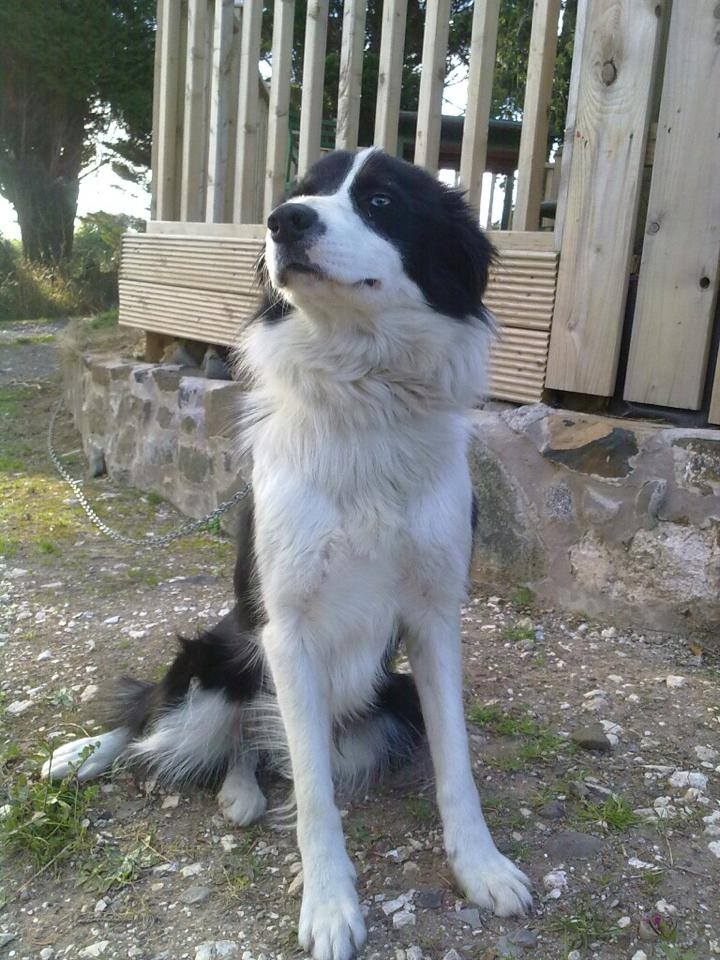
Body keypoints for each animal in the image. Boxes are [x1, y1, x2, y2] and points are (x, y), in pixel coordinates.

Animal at [43, 150, 528, 960]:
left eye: (381, 200)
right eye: (299, 192)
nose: (284, 222)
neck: (365, 396)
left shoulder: (433, 617)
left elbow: (453, 761)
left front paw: (481, 866)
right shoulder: (286, 628)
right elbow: (312, 794)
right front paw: (329, 906)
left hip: (387, 701)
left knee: (258, 748)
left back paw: (238, 789)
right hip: (215, 658)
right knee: (158, 719)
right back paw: (88, 754)